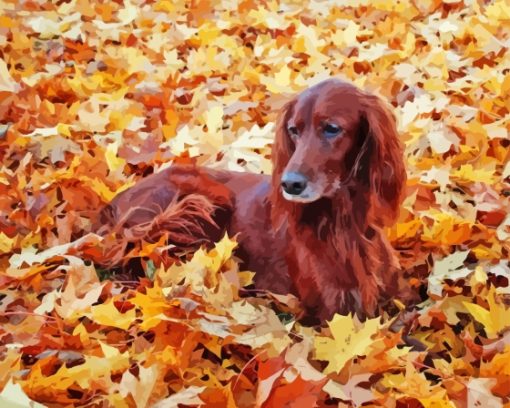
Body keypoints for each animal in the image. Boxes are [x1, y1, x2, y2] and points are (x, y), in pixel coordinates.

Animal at [96, 79, 406, 322]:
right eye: (294, 130)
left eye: (331, 128)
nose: (289, 184)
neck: (344, 220)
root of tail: (112, 205)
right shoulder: (333, 313)